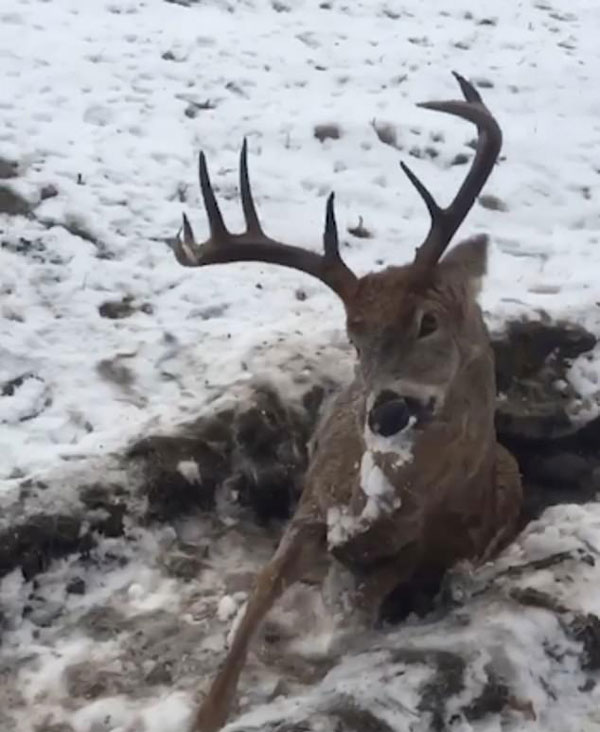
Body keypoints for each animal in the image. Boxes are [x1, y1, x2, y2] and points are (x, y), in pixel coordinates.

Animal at [169, 71, 520, 728]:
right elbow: (255, 604)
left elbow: (357, 610)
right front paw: (208, 712)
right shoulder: (310, 507)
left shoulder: (416, 548)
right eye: (353, 336)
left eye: (429, 321)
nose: (384, 411)